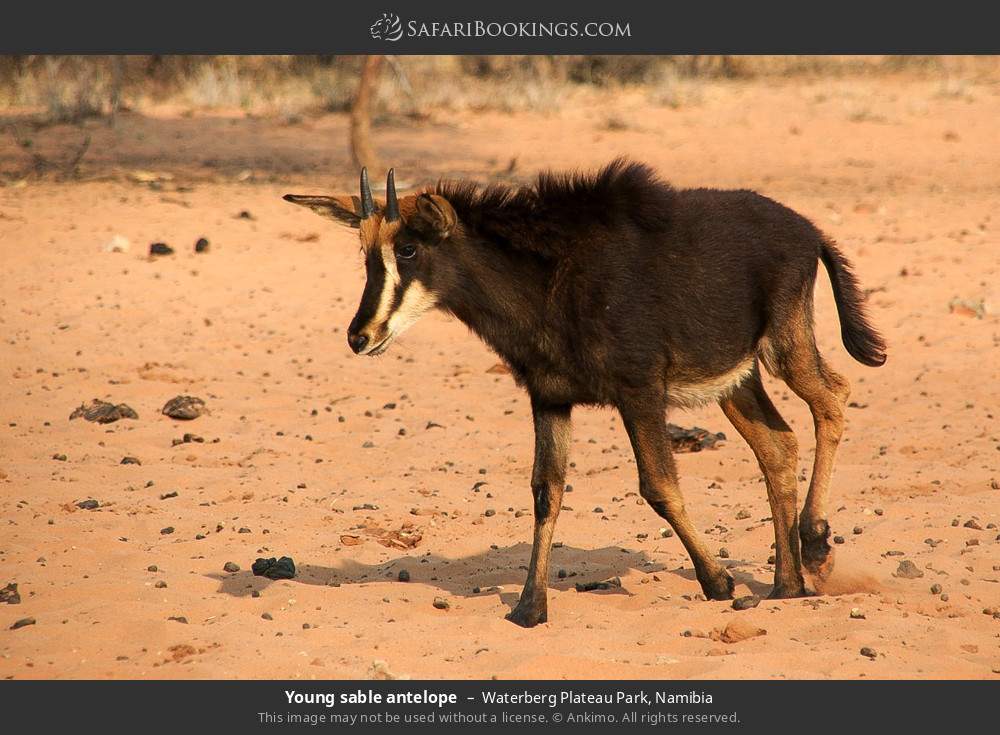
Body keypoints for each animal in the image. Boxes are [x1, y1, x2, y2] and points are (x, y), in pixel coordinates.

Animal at [284, 160, 886, 627]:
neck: (546, 277)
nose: (360, 336)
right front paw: (530, 607)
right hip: (735, 379)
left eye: (408, 249)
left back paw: (814, 543)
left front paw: (717, 581)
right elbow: (545, 491)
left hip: (784, 346)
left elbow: (658, 486)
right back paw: (788, 584)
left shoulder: (639, 390)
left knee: (833, 397)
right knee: (777, 445)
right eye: (366, 254)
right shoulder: (549, 398)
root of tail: (810, 231)